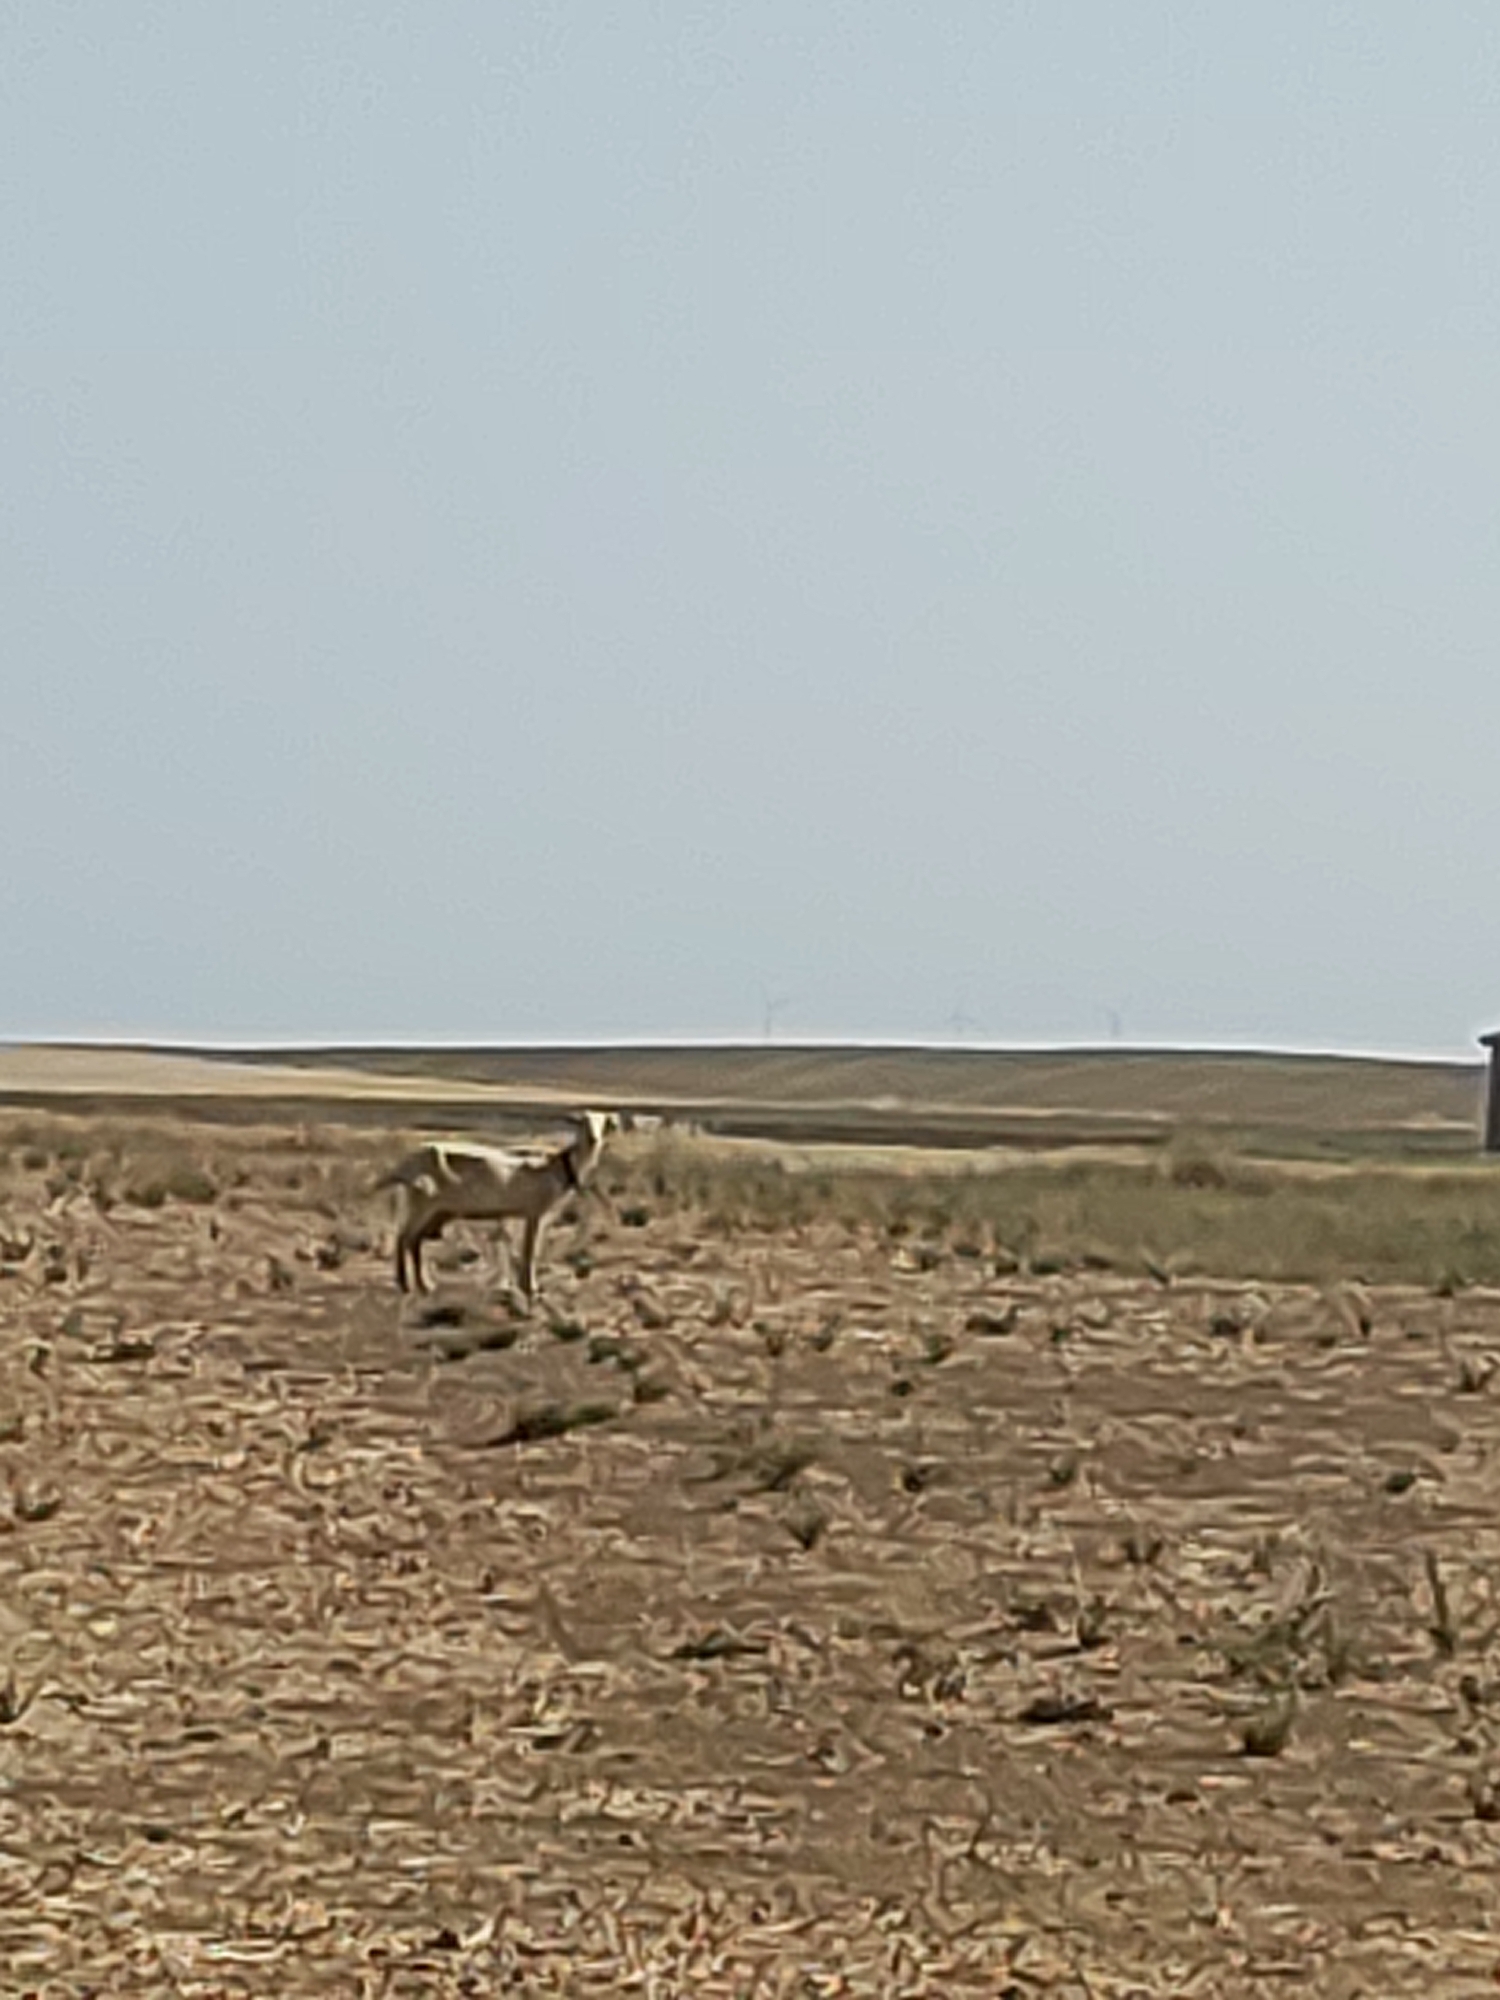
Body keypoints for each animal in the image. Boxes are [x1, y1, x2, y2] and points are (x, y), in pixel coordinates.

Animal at [376, 1110, 619, 1302]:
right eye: (583, 1122)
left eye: (603, 1123)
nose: (594, 1138)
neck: (558, 1166)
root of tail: (406, 1164)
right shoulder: (534, 1211)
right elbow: (530, 1250)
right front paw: (531, 1289)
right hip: (423, 1203)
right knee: (405, 1237)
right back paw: (408, 1285)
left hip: (432, 1209)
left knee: (412, 1239)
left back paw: (420, 1285)